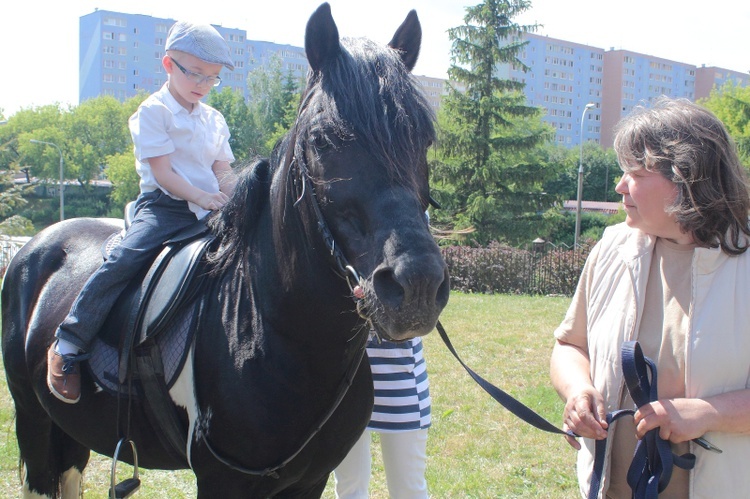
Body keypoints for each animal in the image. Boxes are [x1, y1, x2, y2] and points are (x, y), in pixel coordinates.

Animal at [1, 4, 446, 499]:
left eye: (425, 139)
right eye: (323, 139)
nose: (417, 286)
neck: (278, 332)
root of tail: (33, 247)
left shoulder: (310, 480)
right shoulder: (222, 480)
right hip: (35, 423)